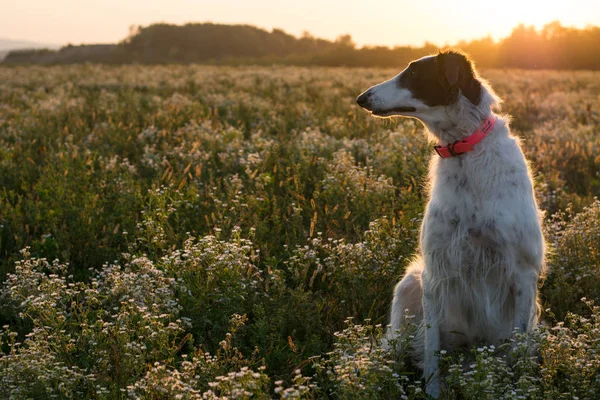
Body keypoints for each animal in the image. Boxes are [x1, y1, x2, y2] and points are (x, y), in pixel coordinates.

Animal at [358, 50, 548, 396]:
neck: (464, 150)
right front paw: (433, 392)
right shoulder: (435, 273)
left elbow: (517, 352)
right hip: (409, 283)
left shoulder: (523, 274)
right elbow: (432, 354)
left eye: (413, 74)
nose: (361, 98)